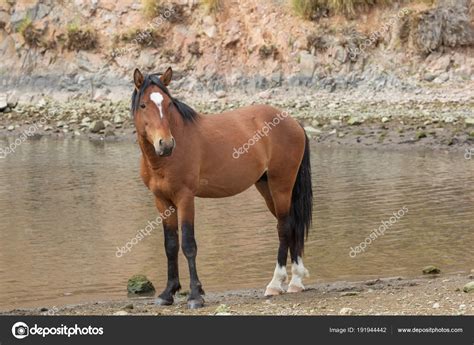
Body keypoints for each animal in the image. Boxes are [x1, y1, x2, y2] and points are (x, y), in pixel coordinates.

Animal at [131, 66, 312, 306]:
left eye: (168, 104)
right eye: (143, 105)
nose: (166, 144)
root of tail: (293, 122)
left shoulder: (185, 198)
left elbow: (188, 244)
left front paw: (195, 296)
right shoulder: (162, 200)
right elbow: (170, 245)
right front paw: (168, 293)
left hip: (281, 185)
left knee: (284, 227)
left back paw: (275, 284)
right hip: (267, 189)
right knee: (292, 226)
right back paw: (296, 282)